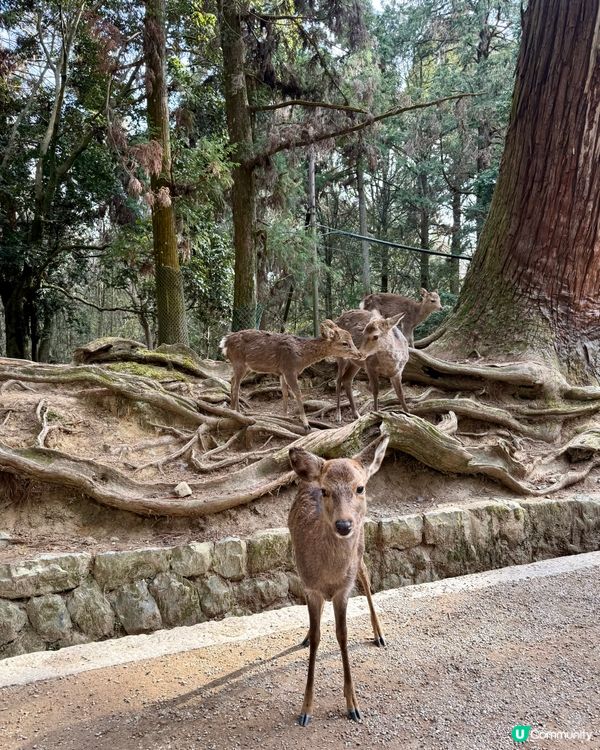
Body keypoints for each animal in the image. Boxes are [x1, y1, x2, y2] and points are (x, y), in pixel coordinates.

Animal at [220, 320, 371, 432]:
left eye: (352, 340)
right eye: (344, 343)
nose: (360, 354)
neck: (301, 357)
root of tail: (225, 342)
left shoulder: (282, 372)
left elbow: (285, 393)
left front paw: (284, 417)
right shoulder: (289, 370)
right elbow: (298, 393)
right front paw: (306, 424)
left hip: (246, 367)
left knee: (233, 381)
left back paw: (236, 410)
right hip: (239, 362)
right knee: (235, 385)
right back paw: (236, 412)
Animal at [288, 433, 389, 726]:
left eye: (360, 487)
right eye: (324, 491)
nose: (344, 525)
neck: (329, 573)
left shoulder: (344, 589)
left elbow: (342, 635)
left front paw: (353, 706)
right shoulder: (310, 587)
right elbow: (319, 636)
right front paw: (305, 710)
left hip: (362, 546)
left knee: (366, 574)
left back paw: (379, 634)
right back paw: (306, 636)